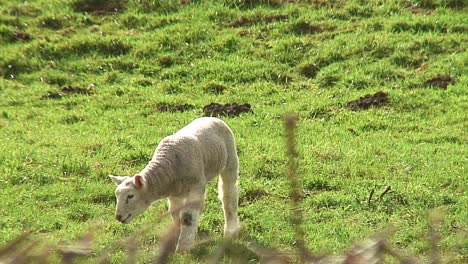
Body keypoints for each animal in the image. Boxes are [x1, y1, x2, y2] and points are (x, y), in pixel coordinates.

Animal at [110, 117, 241, 252]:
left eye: (130, 196)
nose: (118, 217)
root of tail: (212, 117)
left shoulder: (196, 187)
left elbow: (188, 217)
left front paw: (183, 246)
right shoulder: (174, 195)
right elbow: (174, 214)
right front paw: (174, 240)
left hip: (230, 159)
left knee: (229, 194)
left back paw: (230, 231)